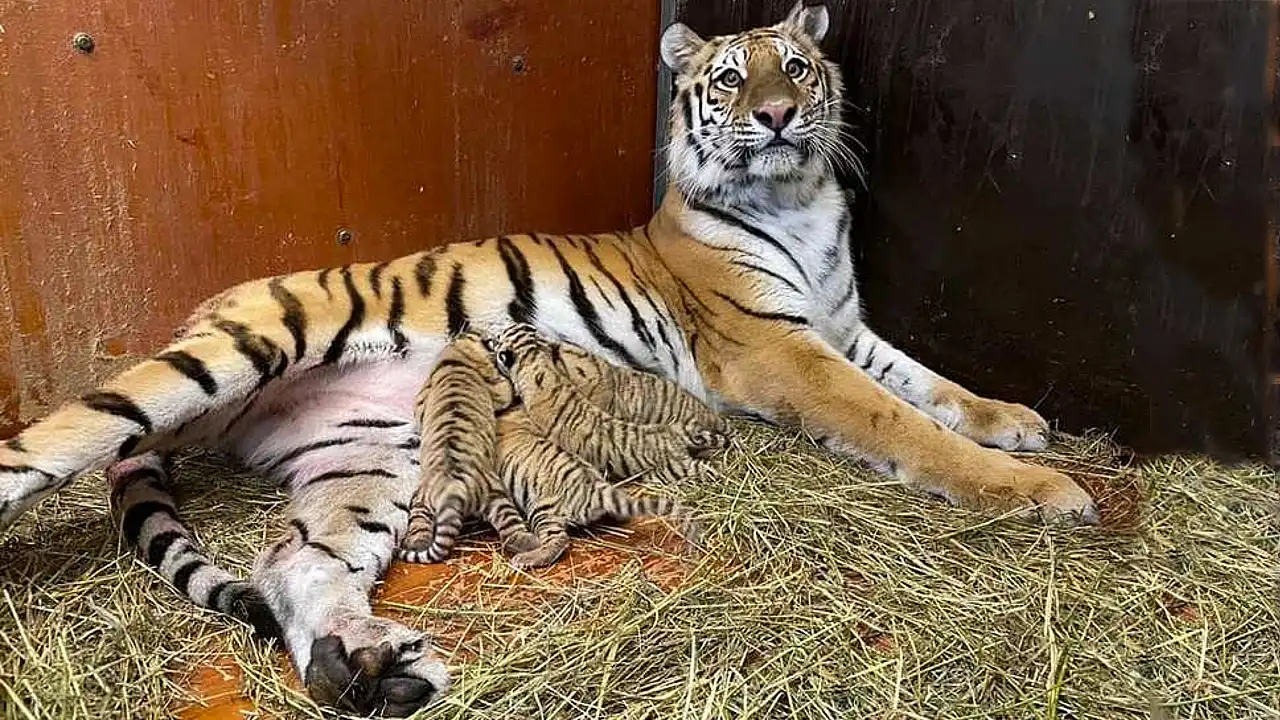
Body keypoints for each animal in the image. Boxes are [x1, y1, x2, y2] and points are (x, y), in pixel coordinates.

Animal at [2, 2, 1100, 712]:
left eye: (796, 67)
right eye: (730, 79)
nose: (779, 116)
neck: (801, 199)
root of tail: (209, 303)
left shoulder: (841, 326)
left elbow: (931, 384)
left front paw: (1014, 422)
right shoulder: (780, 350)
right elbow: (901, 420)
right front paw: (1039, 489)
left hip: (367, 450)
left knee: (295, 564)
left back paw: (367, 670)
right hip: (222, 360)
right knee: (42, 452)